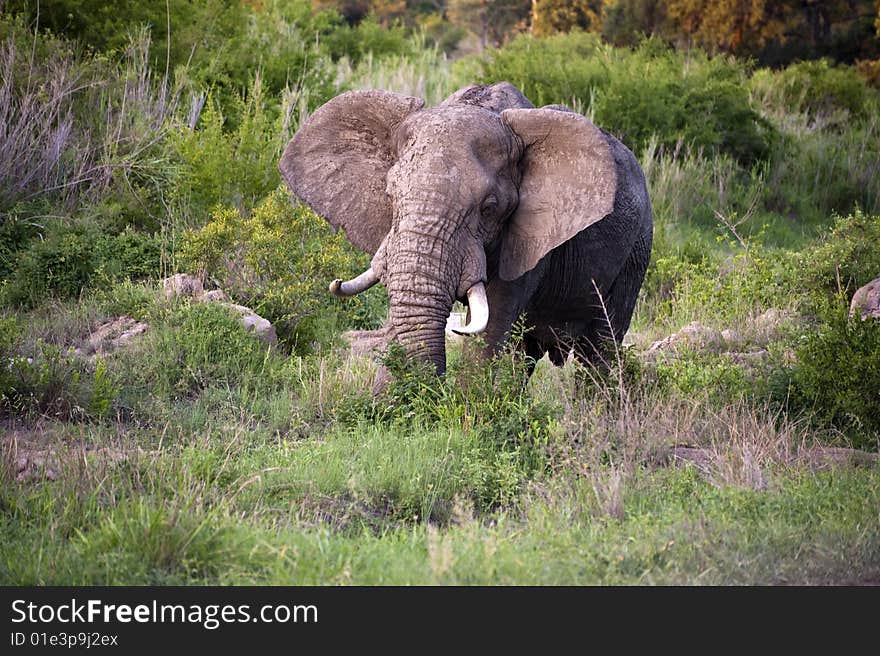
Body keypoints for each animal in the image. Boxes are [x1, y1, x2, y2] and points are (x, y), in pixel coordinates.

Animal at [282, 81, 652, 382]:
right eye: (390, 195)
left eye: (488, 208)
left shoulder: (529, 239)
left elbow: (490, 329)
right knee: (527, 356)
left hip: (637, 252)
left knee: (600, 351)